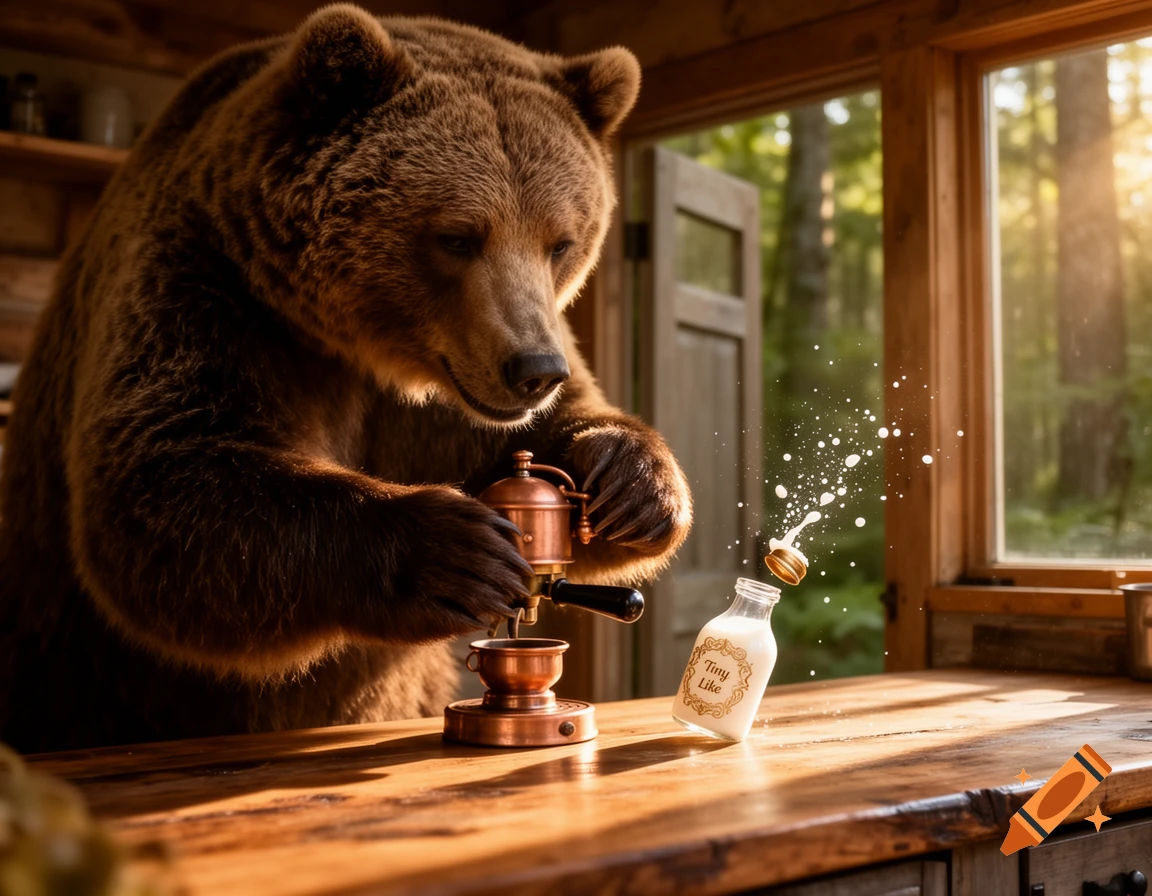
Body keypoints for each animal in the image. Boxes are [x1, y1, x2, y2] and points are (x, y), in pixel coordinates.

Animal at [0, 5, 692, 754]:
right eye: (457, 236)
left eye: (560, 241)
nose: (534, 370)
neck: (366, 346)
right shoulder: (215, 293)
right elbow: (162, 475)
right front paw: (457, 552)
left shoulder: (438, 404)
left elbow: (549, 440)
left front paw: (631, 484)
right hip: (79, 670)